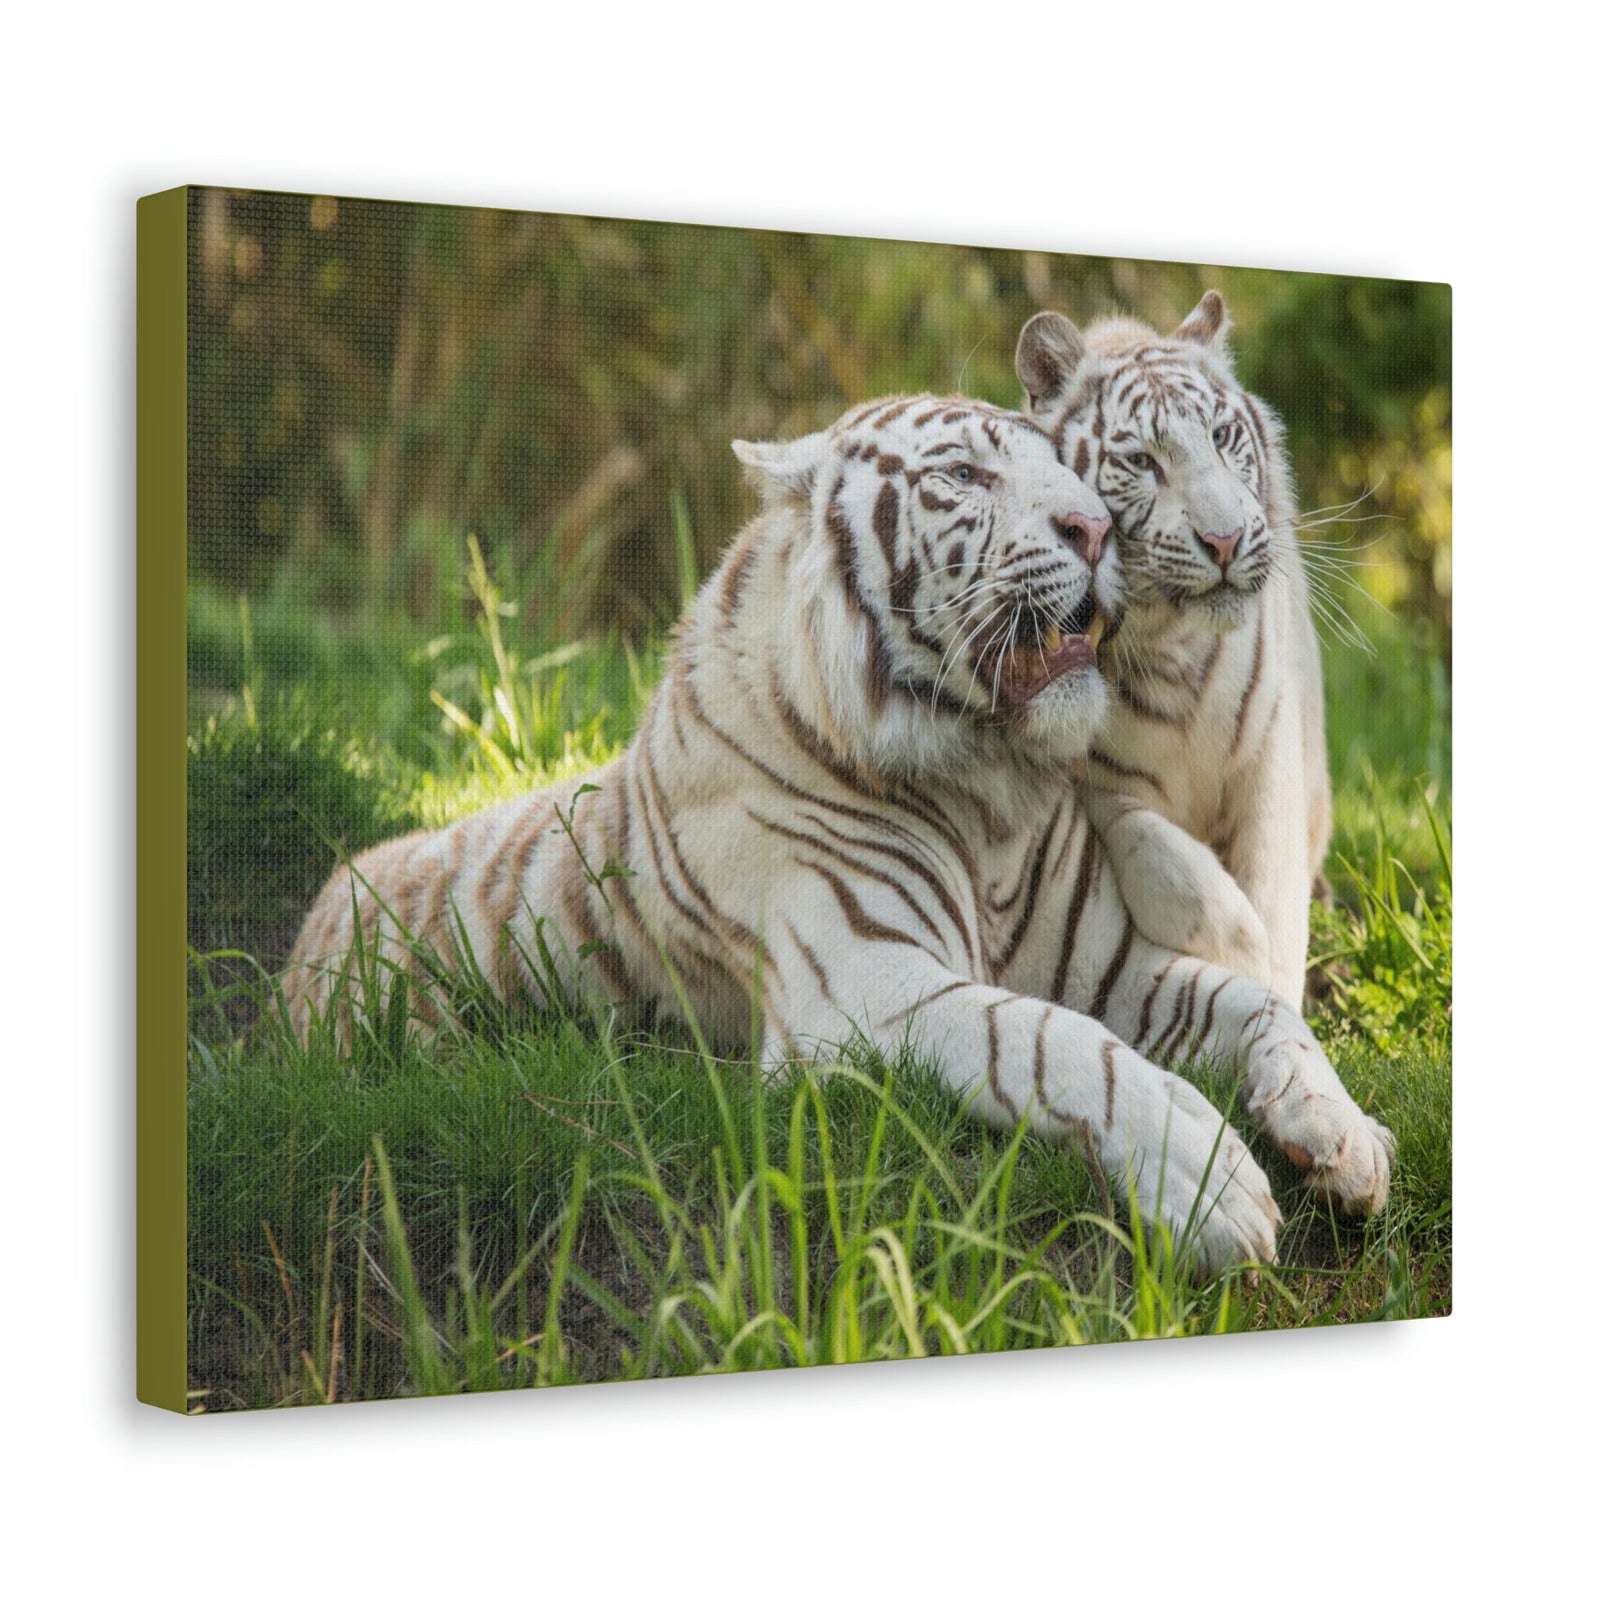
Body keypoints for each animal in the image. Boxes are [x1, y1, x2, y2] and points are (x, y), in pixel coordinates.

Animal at [284, 394, 1391, 1275]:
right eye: (964, 475)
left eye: (1073, 470)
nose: (1095, 527)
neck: (988, 792)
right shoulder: (864, 987)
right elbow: (1055, 1044)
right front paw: (1214, 1187)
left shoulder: (1111, 966)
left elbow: (1261, 1008)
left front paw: (1345, 1137)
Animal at [1015, 293, 1330, 1010]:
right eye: (1141, 463)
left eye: (1221, 437)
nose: (1226, 539)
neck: (1172, 646)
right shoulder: (1088, 778)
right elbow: (1166, 859)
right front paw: (1241, 950)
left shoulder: (1273, 755)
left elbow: (1275, 888)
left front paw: (1274, 978)